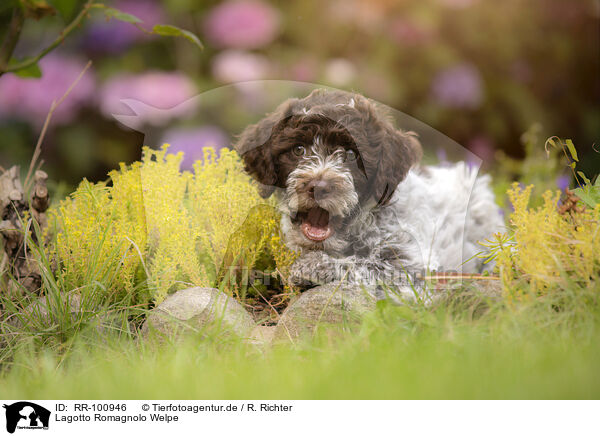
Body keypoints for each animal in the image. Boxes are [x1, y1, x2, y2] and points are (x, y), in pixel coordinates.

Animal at [237, 89, 504, 300]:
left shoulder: (411, 265)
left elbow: (369, 266)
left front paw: (312, 267)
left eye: (351, 155)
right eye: (298, 150)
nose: (319, 186)